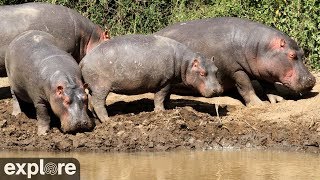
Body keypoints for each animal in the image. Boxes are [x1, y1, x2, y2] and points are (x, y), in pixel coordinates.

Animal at [80, 34, 222, 122]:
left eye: (216, 70)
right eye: (202, 73)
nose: (218, 90)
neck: (185, 63)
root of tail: (83, 61)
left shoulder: (169, 82)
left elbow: (167, 97)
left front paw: (167, 109)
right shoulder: (164, 82)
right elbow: (160, 97)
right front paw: (160, 111)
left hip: (93, 88)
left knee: (92, 103)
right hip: (100, 87)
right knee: (98, 103)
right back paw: (107, 120)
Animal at [156, 17, 316, 105]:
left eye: (302, 53)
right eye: (292, 55)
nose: (312, 80)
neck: (258, 47)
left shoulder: (265, 70)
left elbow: (269, 86)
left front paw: (279, 100)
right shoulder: (235, 69)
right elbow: (245, 85)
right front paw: (258, 104)